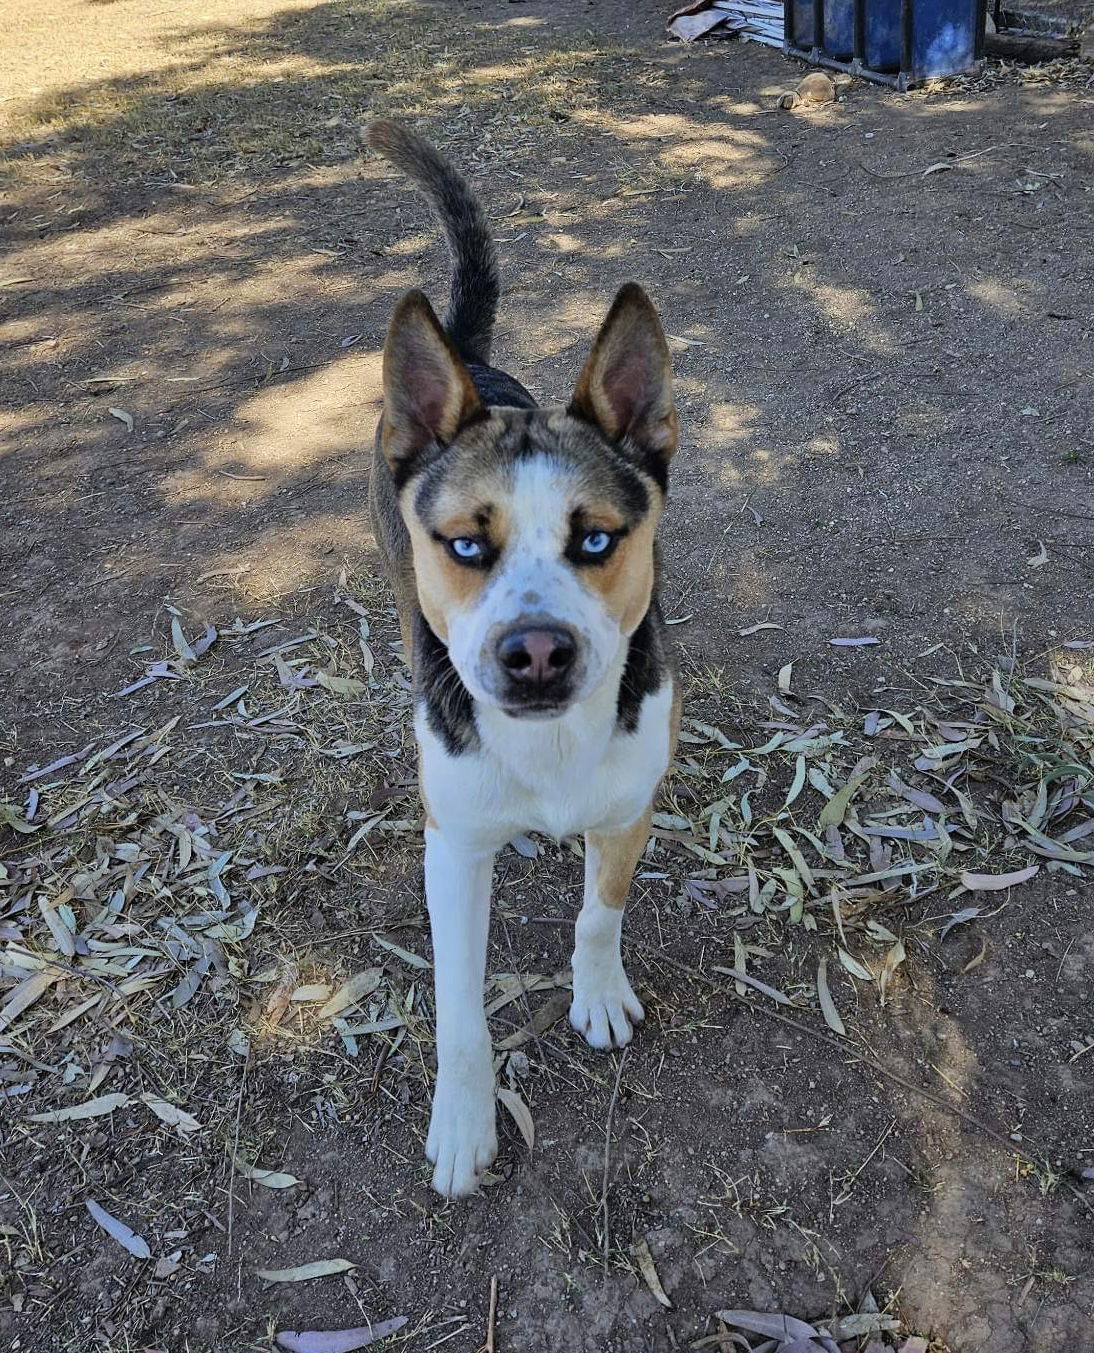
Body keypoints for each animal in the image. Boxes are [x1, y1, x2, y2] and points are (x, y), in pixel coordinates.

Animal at [362, 116, 678, 1196]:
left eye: (597, 539)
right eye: (466, 544)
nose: (535, 652)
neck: (546, 750)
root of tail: (464, 358)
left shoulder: (625, 812)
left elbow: (598, 916)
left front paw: (598, 992)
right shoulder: (453, 851)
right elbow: (459, 1005)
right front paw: (464, 1119)